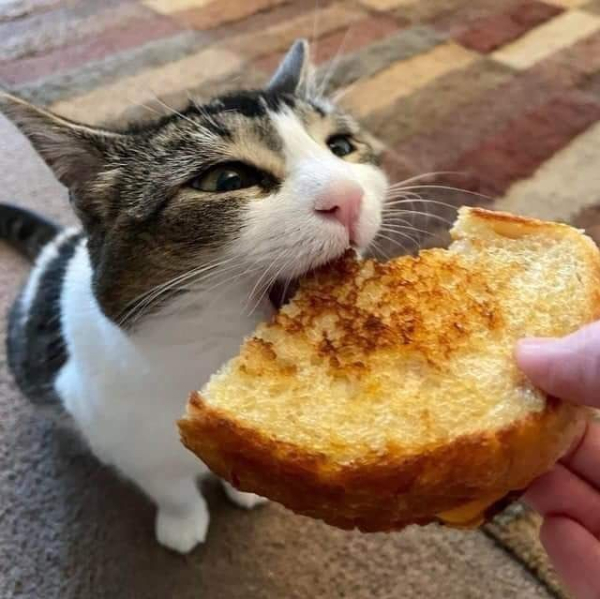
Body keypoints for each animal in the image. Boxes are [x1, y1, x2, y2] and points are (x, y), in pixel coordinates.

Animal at [0, 41, 390, 552]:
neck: (212, 352)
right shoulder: (117, 433)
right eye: (227, 180)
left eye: (341, 147)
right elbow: (170, 486)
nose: (348, 195)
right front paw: (183, 523)